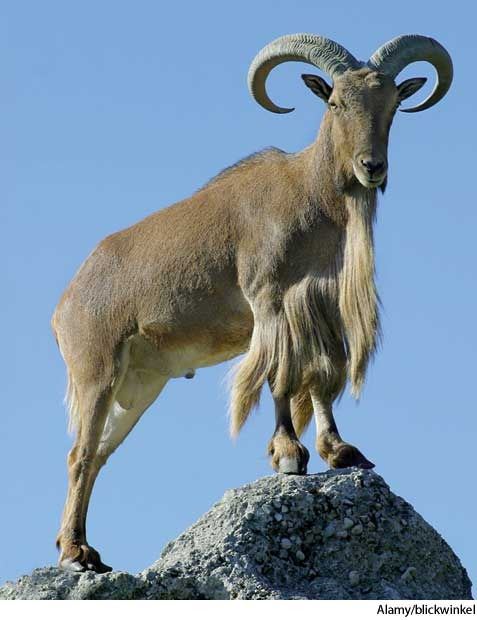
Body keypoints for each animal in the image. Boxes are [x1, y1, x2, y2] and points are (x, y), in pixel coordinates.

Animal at [51, 33, 453, 572]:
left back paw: (86, 551)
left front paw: (340, 450)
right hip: (95, 370)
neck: (310, 197)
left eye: (392, 104)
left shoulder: (319, 308)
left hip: (140, 385)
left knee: (96, 456)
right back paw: (75, 553)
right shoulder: (270, 300)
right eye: (335, 102)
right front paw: (288, 454)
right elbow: (280, 376)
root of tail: (65, 304)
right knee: (78, 455)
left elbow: (321, 377)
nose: (372, 167)